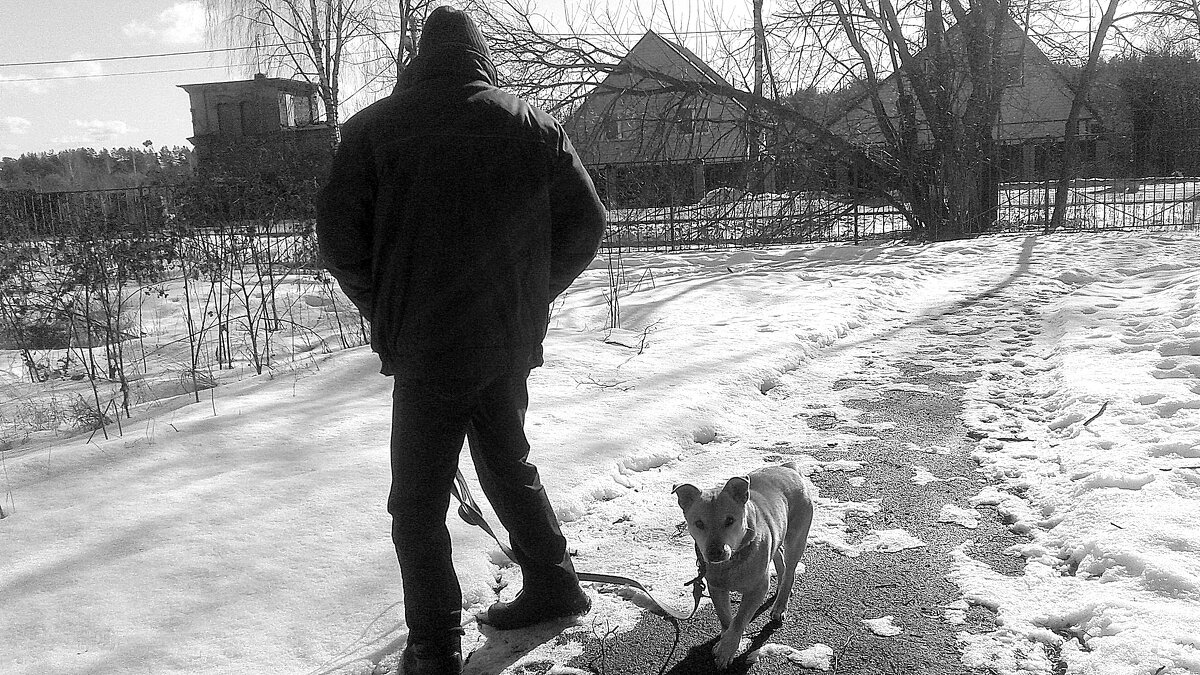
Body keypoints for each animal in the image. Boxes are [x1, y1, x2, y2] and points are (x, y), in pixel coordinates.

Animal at [676, 458, 816, 662]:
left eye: (729, 520)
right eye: (699, 523)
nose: (715, 552)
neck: (732, 561)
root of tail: (788, 468)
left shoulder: (757, 589)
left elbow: (740, 618)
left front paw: (727, 649)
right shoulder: (716, 587)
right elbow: (725, 618)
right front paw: (726, 640)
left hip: (797, 535)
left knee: (790, 569)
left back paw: (780, 605)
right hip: (777, 533)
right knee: (778, 557)